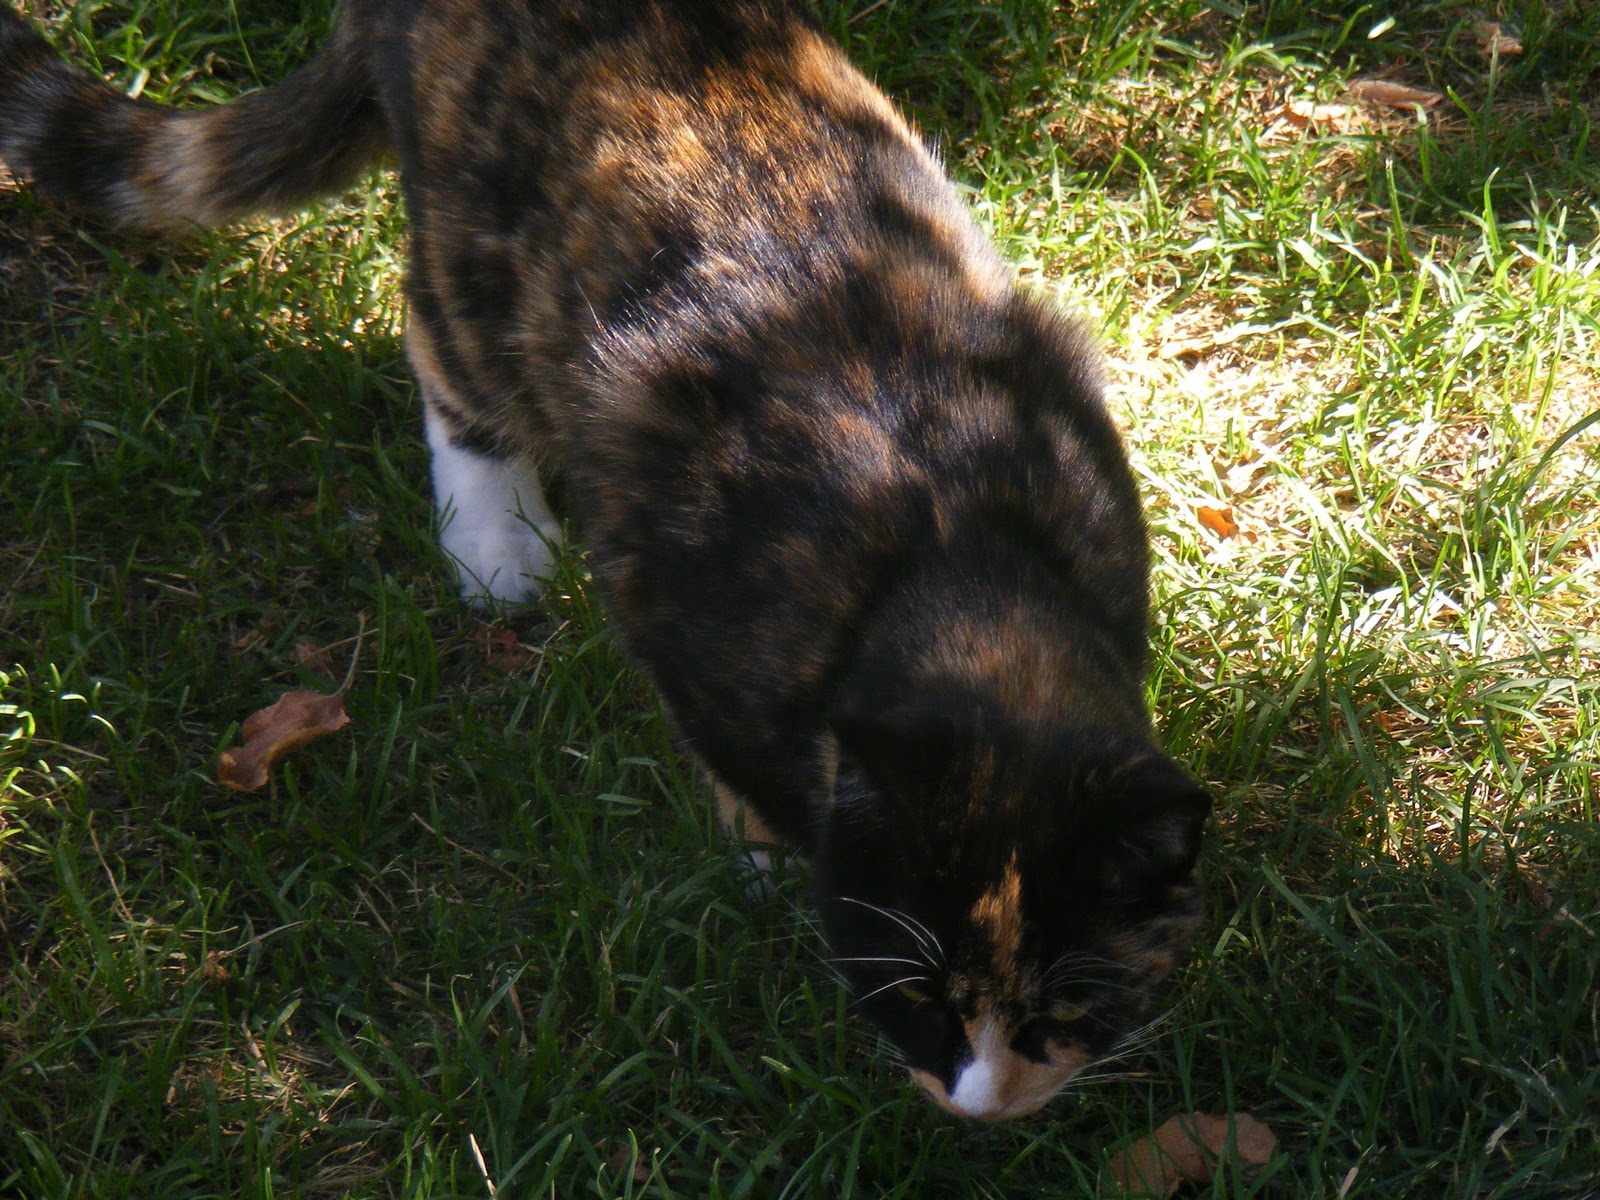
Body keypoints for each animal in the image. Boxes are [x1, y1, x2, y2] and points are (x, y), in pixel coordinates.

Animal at [0, 0, 1210, 1120]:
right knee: (437, 338)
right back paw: (498, 547)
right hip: (477, 251)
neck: (955, 560)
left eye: (1066, 1008)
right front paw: (769, 862)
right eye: (918, 996)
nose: (980, 1104)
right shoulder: (681, 624)